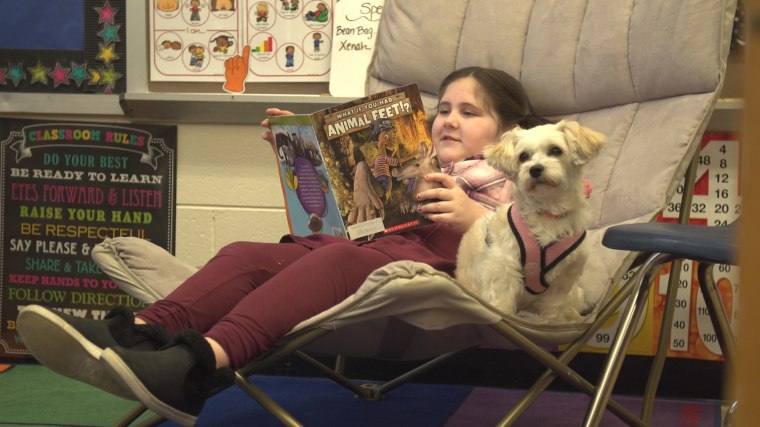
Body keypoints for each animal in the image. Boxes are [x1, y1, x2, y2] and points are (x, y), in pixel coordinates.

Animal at [454, 119, 608, 320]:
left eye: (556, 150)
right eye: (523, 156)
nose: (535, 169)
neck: (547, 213)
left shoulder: (563, 280)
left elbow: (553, 309)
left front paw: (551, 322)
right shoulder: (503, 268)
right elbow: (502, 304)